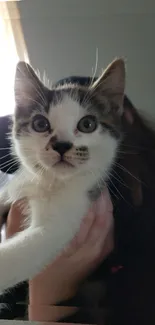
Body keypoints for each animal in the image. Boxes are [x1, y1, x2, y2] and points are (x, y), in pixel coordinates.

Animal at [0, 57, 124, 288]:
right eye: (40, 124)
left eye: (87, 124)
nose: (62, 145)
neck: (49, 181)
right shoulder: (18, 182)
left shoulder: (70, 215)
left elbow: (24, 253)